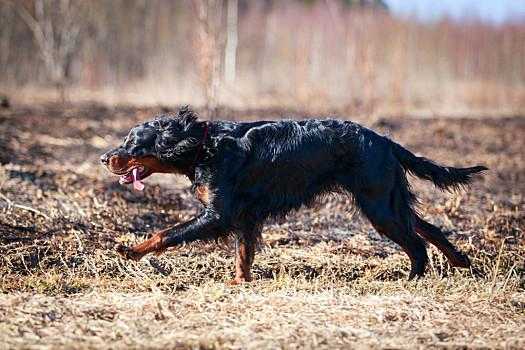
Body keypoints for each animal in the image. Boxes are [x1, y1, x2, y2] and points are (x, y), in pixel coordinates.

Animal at [100, 107, 486, 284]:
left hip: (379, 207)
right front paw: (240, 282)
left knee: (417, 244)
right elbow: (243, 253)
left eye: (132, 144)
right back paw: (461, 262)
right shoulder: (244, 216)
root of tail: (385, 141)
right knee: (429, 229)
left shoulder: (218, 214)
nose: (104, 158)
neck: (202, 145)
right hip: (388, 201)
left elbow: (166, 233)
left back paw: (411, 280)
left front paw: (130, 250)